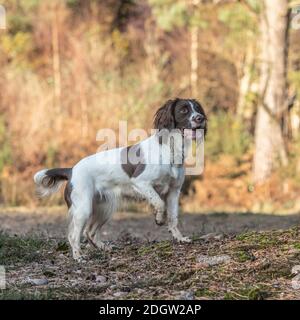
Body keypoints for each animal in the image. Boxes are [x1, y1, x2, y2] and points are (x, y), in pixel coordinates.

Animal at [32, 99, 206, 262]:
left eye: (197, 108)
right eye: (184, 110)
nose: (201, 118)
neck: (169, 149)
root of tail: (72, 170)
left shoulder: (174, 191)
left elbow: (173, 217)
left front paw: (179, 238)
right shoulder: (140, 182)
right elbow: (159, 203)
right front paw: (158, 218)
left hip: (105, 208)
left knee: (90, 232)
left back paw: (104, 248)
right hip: (84, 208)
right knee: (74, 235)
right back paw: (78, 256)